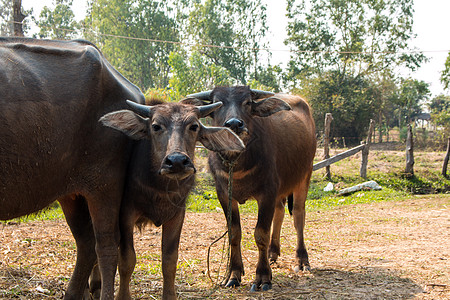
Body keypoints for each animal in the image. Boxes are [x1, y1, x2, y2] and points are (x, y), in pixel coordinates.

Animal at [0, 38, 243, 300]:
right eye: (156, 126)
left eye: (194, 126)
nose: (177, 161)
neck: (160, 188)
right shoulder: (127, 213)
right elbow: (128, 260)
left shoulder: (177, 214)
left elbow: (169, 261)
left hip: (96, 187)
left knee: (97, 245)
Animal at [183, 85, 316, 292]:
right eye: (218, 104)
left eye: (247, 102)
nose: (234, 124)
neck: (237, 164)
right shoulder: (224, 195)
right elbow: (234, 233)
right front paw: (234, 274)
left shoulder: (267, 193)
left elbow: (261, 234)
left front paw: (263, 277)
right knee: (280, 211)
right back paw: (272, 253)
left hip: (304, 175)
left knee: (299, 216)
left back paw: (301, 259)